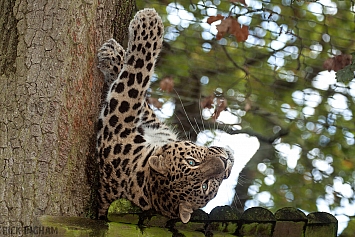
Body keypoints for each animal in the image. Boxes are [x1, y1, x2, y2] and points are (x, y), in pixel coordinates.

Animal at [96, 8, 235, 223]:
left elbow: (136, 77)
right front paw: (114, 57)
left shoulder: (118, 122)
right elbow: (142, 98)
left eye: (207, 184)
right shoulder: (150, 128)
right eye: (191, 162)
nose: (225, 161)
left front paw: (148, 22)